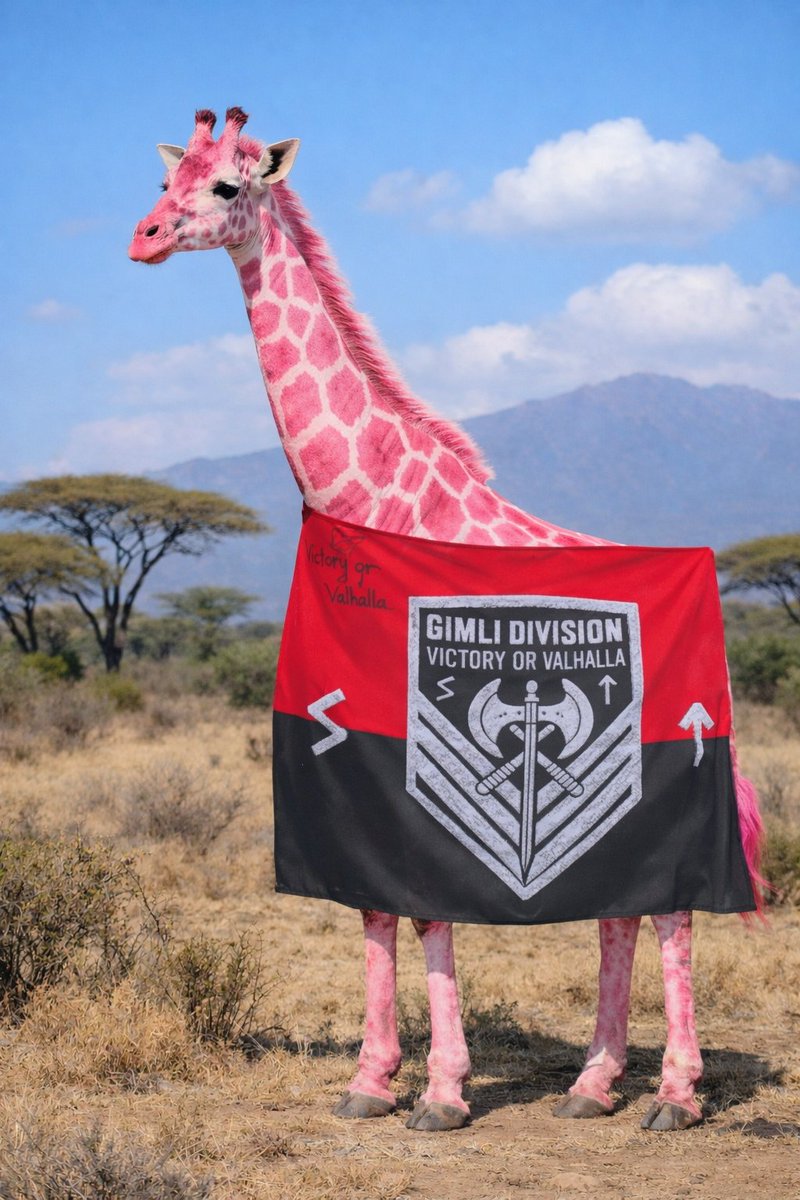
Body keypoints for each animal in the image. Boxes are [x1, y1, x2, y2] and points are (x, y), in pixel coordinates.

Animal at [129, 108, 763, 1134]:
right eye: (164, 179)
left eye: (225, 187)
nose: (141, 239)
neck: (376, 499)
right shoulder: (358, 737)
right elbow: (375, 907)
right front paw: (371, 1078)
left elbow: (428, 910)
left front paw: (442, 1091)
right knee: (622, 910)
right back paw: (591, 1084)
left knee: (671, 908)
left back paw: (673, 1094)